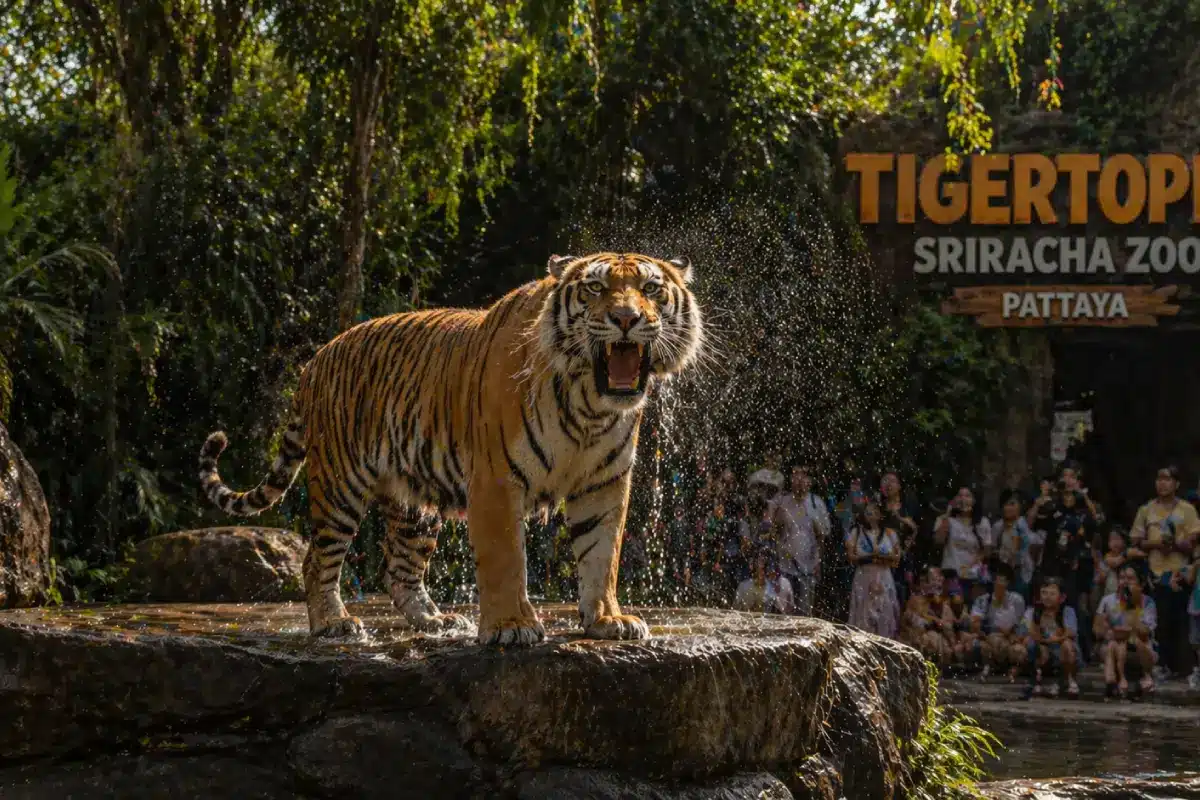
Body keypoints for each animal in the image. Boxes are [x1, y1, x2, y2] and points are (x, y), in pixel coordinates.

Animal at [197, 252, 704, 645]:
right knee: (316, 559)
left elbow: (602, 555)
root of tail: (315, 360)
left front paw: (607, 620)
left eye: (651, 289)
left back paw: (435, 621)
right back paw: (334, 625)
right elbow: (505, 558)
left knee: (399, 569)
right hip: (340, 485)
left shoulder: (604, 484)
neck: (589, 406)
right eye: (595, 288)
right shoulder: (497, 480)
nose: (626, 319)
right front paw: (511, 626)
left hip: (413, 501)